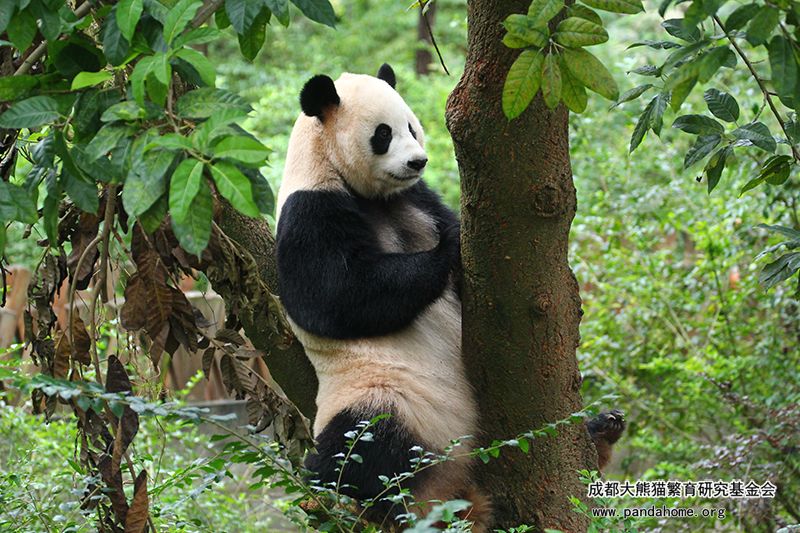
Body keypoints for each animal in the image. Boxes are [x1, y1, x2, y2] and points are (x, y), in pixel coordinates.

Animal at [275, 64, 626, 529]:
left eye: (412, 127)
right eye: (383, 134)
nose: (418, 161)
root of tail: (448, 490)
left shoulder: (415, 198)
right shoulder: (310, 210)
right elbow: (335, 296)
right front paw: (447, 250)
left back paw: (601, 430)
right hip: (378, 395)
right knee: (354, 449)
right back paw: (355, 496)